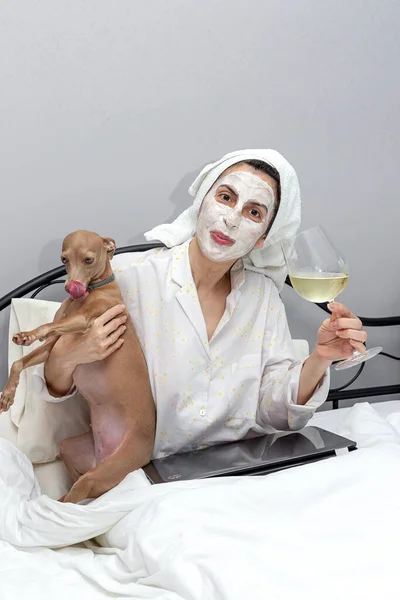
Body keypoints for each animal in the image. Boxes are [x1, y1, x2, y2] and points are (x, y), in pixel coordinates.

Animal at [0, 232, 155, 504]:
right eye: (64, 259)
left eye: (88, 259)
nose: (70, 287)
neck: (93, 291)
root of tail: (101, 459)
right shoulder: (54, 349)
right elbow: (19, 362)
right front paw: (8, 395)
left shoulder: (84, 320)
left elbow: (47, 327)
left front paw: (30, 334)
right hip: (71, 450)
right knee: (71, 491)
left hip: (103, 473)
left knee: (77, 497)